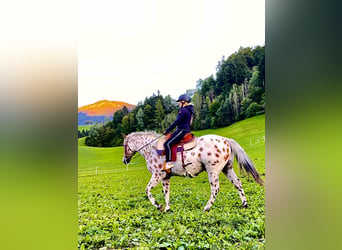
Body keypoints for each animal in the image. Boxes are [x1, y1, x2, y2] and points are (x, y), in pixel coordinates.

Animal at [123, 132, 264, 212]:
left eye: (124, 145)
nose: (124, 160)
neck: (152, 149)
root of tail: (225, 140)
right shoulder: (165, 177)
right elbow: (166, 193)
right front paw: (167, 208)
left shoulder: (157, 175)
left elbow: (147, 190)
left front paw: (158, 206)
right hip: (227, 169)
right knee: (238, 183)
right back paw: (244, 204)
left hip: (212, 171)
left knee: (215, 189)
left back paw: (206, 208)